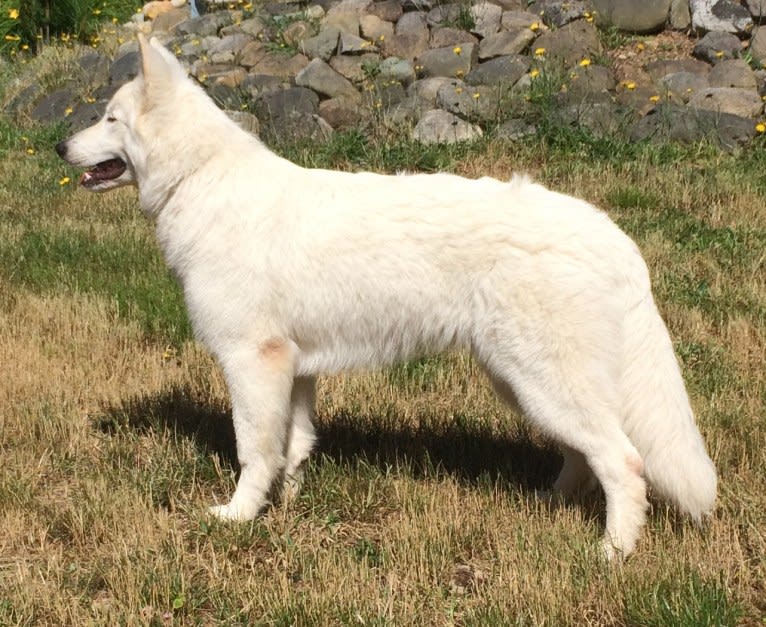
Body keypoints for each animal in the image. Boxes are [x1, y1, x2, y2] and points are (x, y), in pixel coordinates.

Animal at [58, 34, 720, 560]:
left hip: (543, 381)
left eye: (110, 119)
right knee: (585, 458)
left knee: (624, 463)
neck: (199, 178)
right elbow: (293, 449)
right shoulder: (296, 370)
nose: (61, 149)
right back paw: (549, 504)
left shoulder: (251, 362)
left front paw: (239, 517)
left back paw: (613, 553)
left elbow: (254, 451)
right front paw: (287, 507)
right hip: (525, 383)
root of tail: (613, 236)